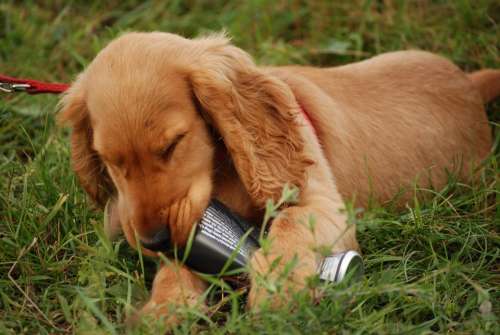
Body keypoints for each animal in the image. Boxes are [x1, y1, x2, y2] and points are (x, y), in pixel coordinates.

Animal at [58, 32, 496, 324]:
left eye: (172, 145)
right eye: (109, 161)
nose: (153, 241)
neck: (223, 171)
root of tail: (471, 87)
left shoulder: (323, 204)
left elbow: (291, 224)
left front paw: (278, 289)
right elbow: (178, 265)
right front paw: (164, 308)